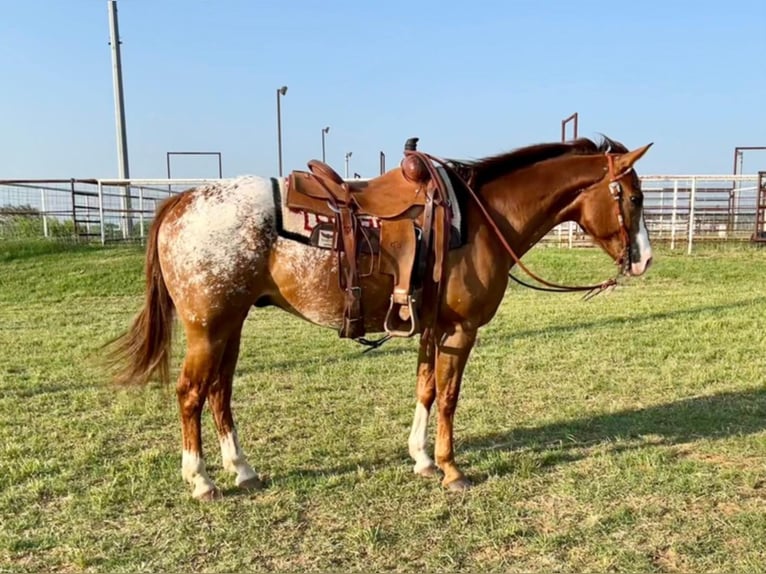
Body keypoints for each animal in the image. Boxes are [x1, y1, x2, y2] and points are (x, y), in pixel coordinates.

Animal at [109, 137, 656, 502]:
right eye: (633, 197)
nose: (645, 260)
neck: (480, 219)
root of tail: (181, 201)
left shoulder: (433, 327)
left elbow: (426, 389)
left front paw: (422, 460)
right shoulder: (461, 331)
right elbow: (450, 397)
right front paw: (452, 469)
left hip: (232, 325)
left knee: (219, 392)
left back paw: (242, 469)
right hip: (209, 327)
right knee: (190, 394)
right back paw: (202, 481)